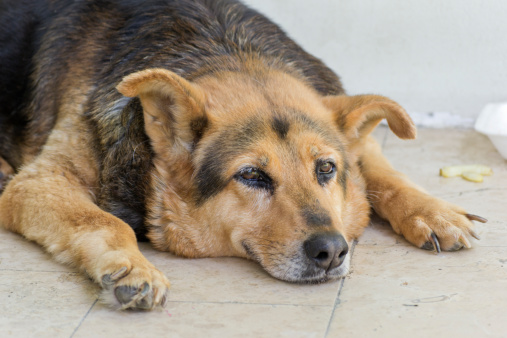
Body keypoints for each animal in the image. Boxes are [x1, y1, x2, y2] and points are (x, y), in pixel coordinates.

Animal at [0, 0, 488, 310]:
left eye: (326, 168)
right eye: (252, 175)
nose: (333, 251)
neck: (227, 50)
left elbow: (385, 174)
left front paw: (432, 210)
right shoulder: (40, 182)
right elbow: (104, 221)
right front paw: (130, 268)